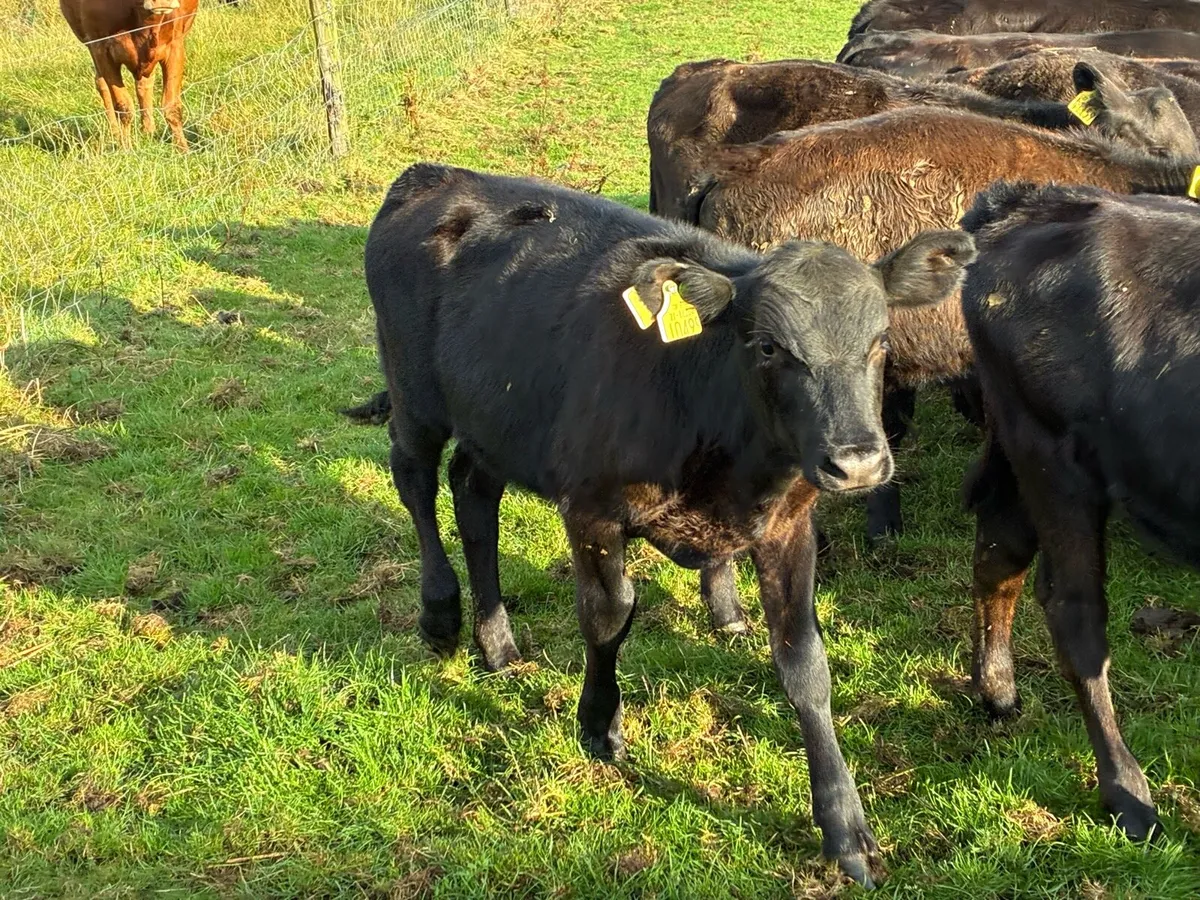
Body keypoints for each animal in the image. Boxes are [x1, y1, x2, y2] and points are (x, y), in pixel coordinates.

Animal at [60, 0, 198, 151]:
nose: (162, 3)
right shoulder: (100, 48)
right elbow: (123, 107)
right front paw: (126, 149)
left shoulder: (175, 45)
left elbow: (172, 106)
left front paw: (183, 149)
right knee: (102, 84)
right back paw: (114, 133)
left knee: (144, 84)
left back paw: (148, 131)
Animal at [365, 162, 976, 885]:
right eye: (767, 346)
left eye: (879, 341)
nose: (856, 462)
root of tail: (436, 175)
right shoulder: (592, 508)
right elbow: (608, 616)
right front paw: (599, 726)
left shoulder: (789, 526)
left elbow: (805, 663)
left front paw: (845, 827)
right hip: (415, 396)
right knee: (415, 481)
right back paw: (440, 615)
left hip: (494, 422)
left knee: (473, 496)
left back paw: (498, 644)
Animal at [958, 180, 1200, 843]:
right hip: (1053, 458)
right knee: (1074, 611)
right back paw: (1128, 792)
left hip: (1024, 454)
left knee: (1000, 553)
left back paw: (997, 691)